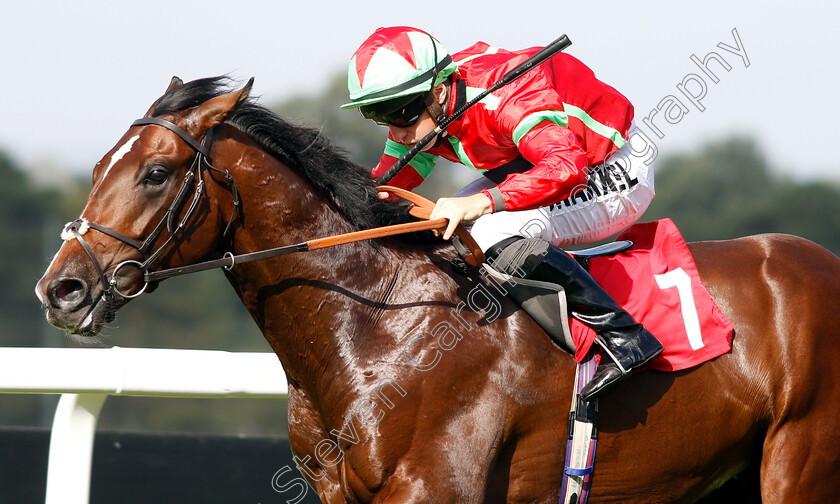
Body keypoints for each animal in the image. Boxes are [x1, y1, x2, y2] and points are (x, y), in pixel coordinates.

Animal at [36, 77, 840, 502]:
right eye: (103, 163)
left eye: (155, 173)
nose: (62, 289)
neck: (382, 328)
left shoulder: (433, 487)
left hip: (799, 463)